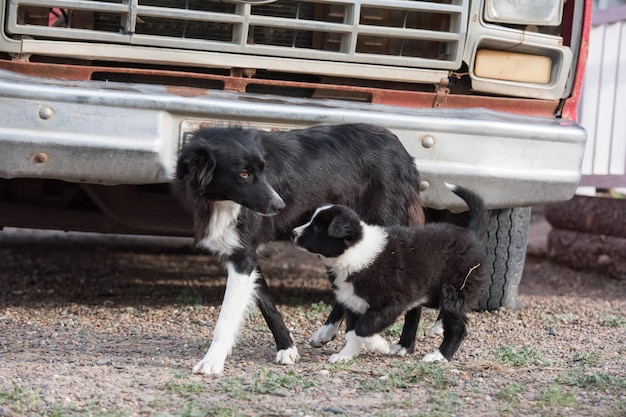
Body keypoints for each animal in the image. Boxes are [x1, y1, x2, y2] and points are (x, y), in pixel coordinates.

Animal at [171, 123, 424, 374]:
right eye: (244, 173)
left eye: (262, 170)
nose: (279, 205)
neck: (221, 201)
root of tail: (401, 148)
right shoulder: (247, 255)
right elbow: (268, 305)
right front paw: (287, 348)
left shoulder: (242, 257)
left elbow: (226, 317)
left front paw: (212, 361)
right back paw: (329, 331)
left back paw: (405, 344)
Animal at [292, 184, 488, 362]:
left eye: (318, 228)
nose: (293, 233)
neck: (354, 251)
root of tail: (470, 234)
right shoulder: (353, 302)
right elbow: (352, 331)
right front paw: (346, 355)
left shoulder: (391, 302)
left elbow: (363, 327)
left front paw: (379, 345)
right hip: (429, 288)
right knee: (421, 313)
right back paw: (409, 343)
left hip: (455, 288)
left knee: (457, 326)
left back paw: (439, 356)